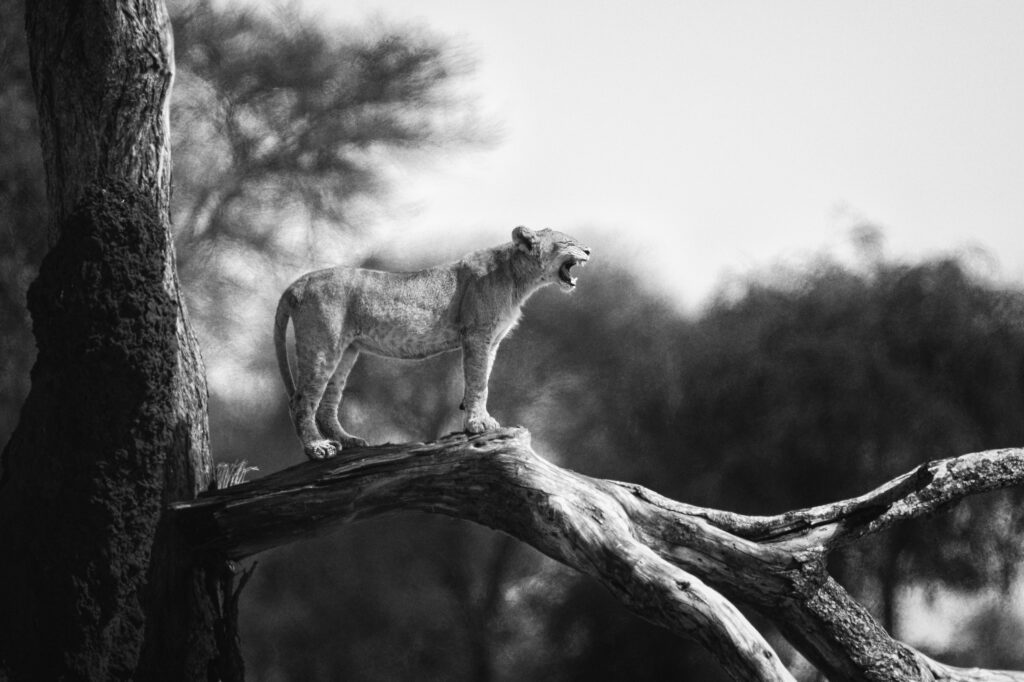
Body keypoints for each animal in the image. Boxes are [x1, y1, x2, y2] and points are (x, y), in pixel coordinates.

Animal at [274, 226, 591, 459]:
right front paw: (478, 425)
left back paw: (348, 440)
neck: (519, 279)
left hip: (347, 351)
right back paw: (317, 448)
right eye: (568, 242)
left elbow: (483, 379)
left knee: (328, 403)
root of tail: (297, 283)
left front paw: (478, 418)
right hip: (323, 345)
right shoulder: (477, 334)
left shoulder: (492, 341)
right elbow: (478, 381)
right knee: (301, 400)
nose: (589, 250)